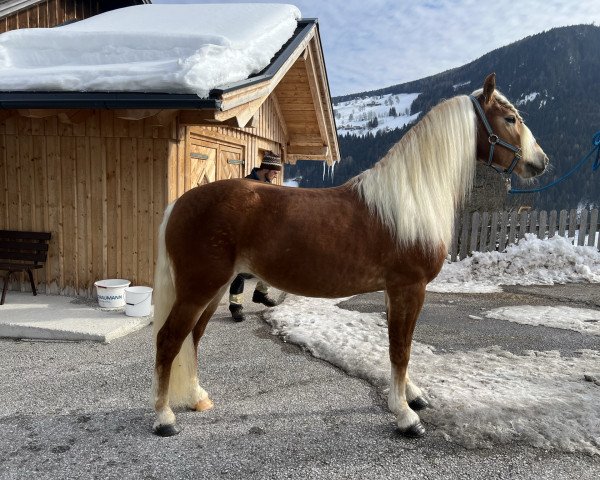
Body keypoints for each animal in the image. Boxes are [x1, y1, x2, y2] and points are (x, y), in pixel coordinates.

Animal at [149, 73, 548, 436]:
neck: (410, 199)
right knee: (169, 339)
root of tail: (178, 203)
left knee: (192, 338)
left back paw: (197, 397)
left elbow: (400, 345)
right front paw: (405, 416)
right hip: (199, 289)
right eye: (510, 119)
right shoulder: (410, 287)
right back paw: (164, 417)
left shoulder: (396, 291)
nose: (541, 162)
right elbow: (400, 349)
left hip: (212, 290)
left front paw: (412, 396)